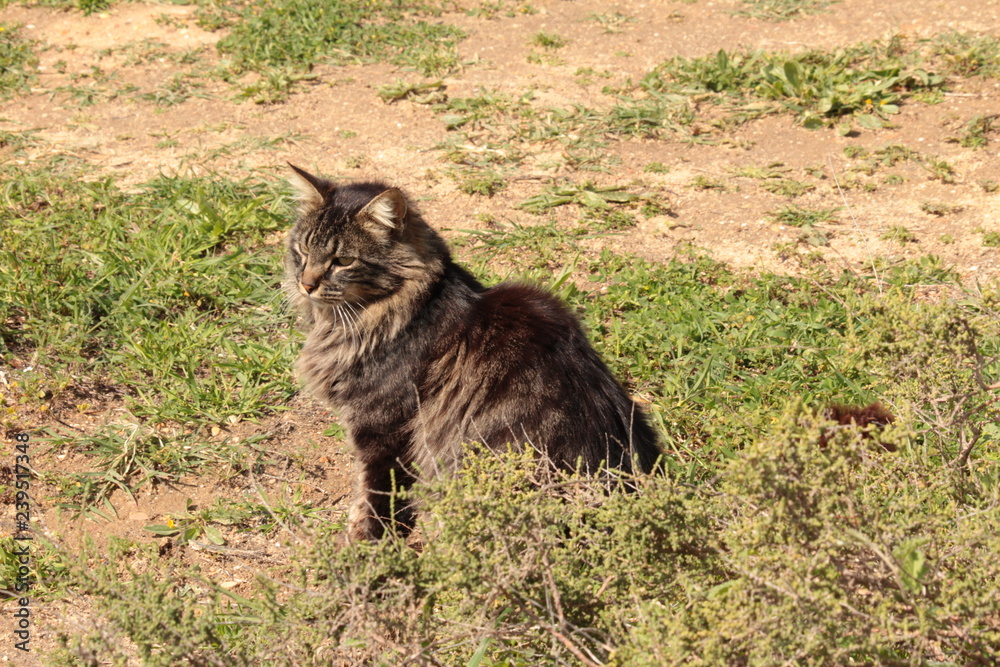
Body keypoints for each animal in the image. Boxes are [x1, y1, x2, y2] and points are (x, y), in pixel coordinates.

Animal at [286, 166, 660, 544]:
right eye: (302, 250)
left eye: (343, 261)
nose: (306, 283)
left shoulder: (384, 427)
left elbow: (378, 494)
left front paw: (366, 542)